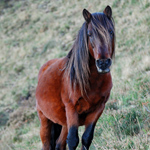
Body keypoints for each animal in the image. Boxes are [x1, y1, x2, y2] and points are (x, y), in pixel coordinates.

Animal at [35, 5, 115, 150]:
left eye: (111, 31)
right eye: (89, 34)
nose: (103, 63)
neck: (91, 81)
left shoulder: (98, 109)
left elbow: (86, 138)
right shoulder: (72, 109)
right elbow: (72, 140)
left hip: (63, 123)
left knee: (59, 144)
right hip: (45, 121)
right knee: (47, 144)